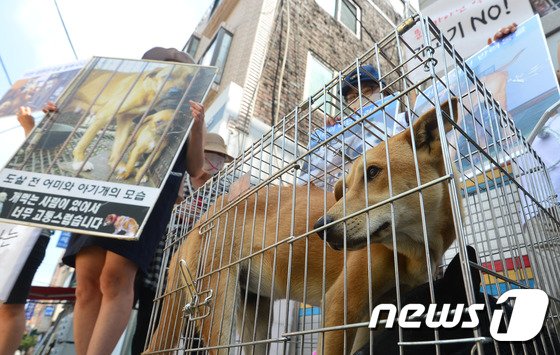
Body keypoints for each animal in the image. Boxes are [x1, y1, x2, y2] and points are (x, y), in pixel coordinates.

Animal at [147, 98, 462, 355]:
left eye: (373, 172)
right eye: (344, 190)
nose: (320, 228)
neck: (413, 248)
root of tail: (197, 224)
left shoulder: (376, 314)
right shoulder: (339, 307)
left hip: (254, 314)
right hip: (214, 307)